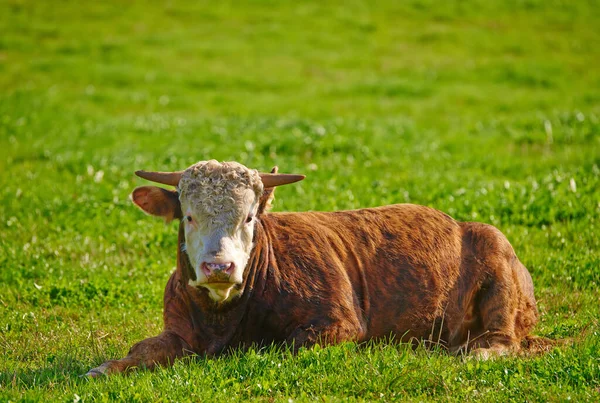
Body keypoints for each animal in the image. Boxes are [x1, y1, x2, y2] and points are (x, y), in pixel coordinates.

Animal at [88, 159, 544, 378]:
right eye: (188, 216)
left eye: (249, 217)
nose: (219, 266)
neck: (224, 317)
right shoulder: (178, 330)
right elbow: (141, 350)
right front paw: (105, 368)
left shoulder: (338, 324)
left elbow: (282, 345)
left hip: (497, 263)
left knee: (502, 341)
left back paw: (472, 353)